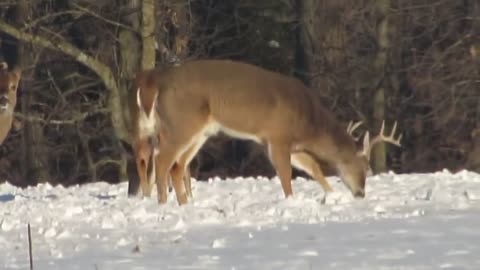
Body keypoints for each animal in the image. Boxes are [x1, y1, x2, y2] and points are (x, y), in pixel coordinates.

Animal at [133, 59, 400, 205]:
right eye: (364, 168)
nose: (361, 193)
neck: (308, 121)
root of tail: (156, 81)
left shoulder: (282, 142)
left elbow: (312, 166)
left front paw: (331, 194)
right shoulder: (278, 136)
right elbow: (286, 174)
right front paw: (292, 201)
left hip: (200, 131)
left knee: (177, 165)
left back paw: (184, 204)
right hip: (181, 122)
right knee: (162, 159)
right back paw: (164, 203)